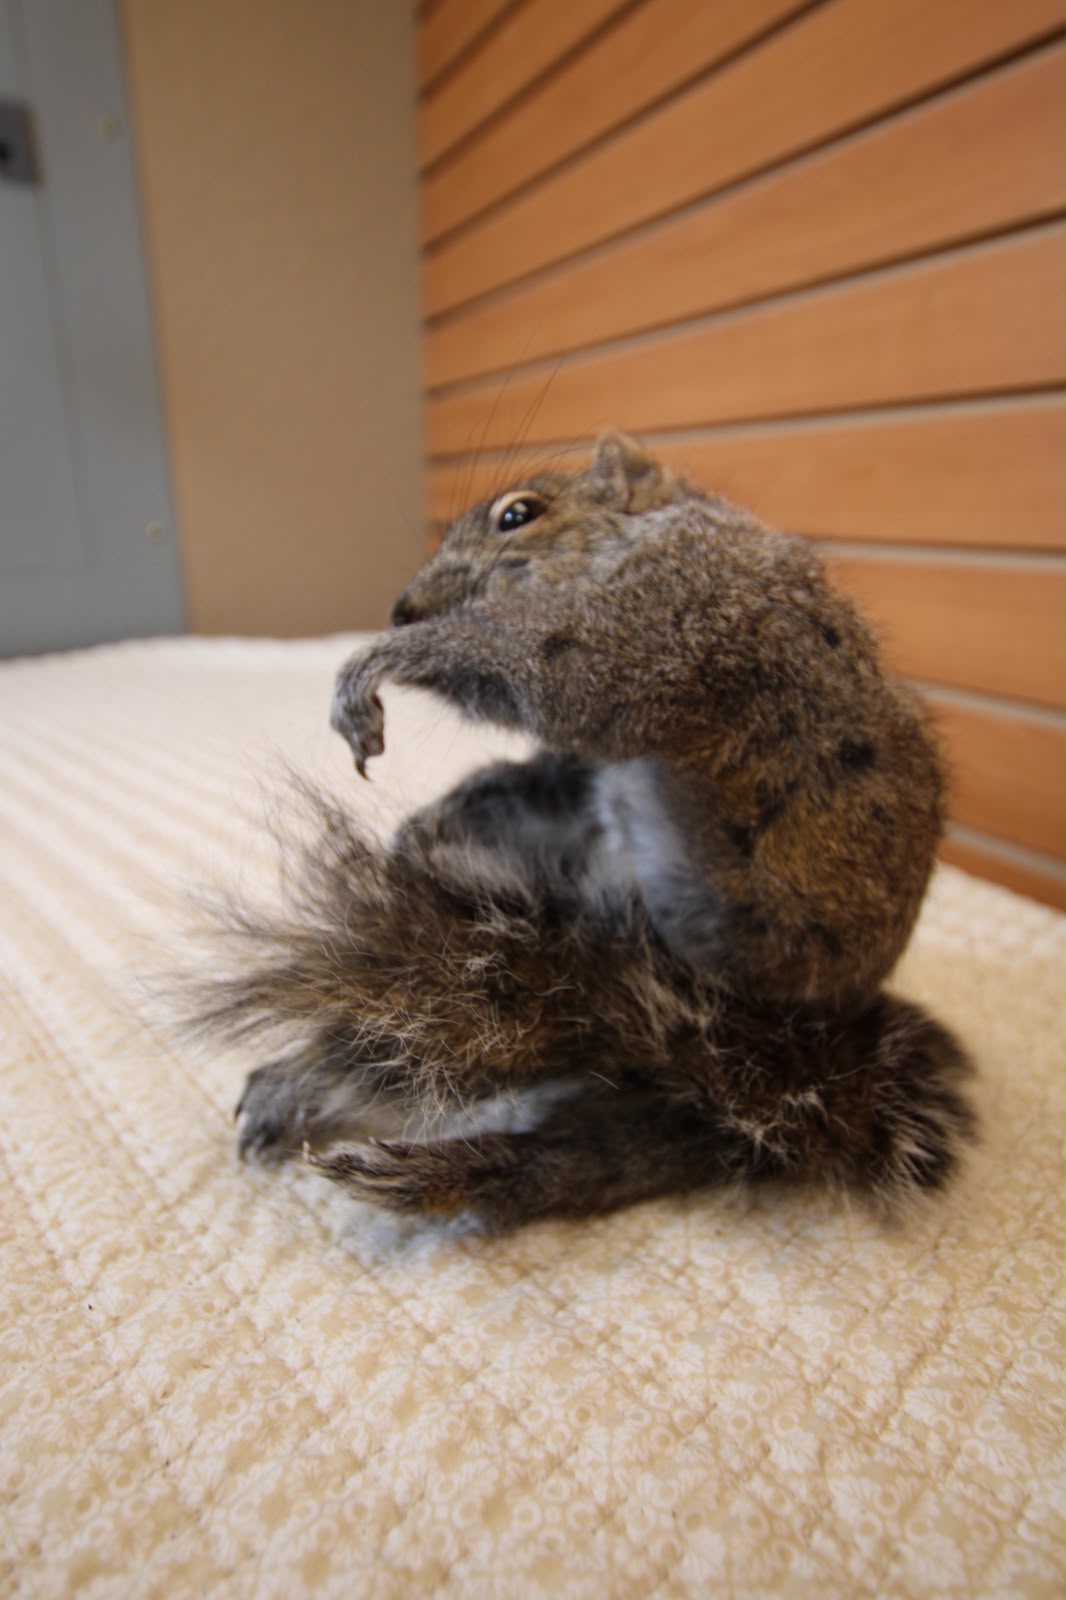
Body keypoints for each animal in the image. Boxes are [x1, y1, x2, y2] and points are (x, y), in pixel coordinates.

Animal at [208, 431, 974, 1229]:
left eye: (517, 515)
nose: (402, 609)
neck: (671, 529)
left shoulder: (677, 616)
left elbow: (559, 680)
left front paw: (375, 665)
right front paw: (424, 808)